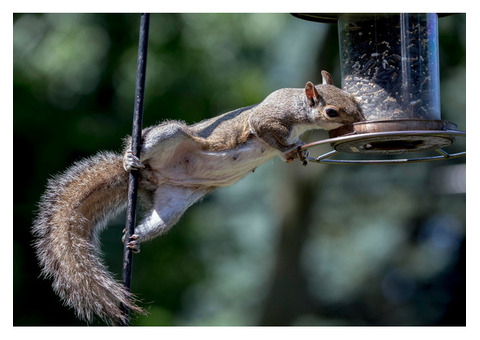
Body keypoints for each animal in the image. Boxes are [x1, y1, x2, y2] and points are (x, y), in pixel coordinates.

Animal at [31, 70, 364, 326]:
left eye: (355, 99)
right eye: (331, 111)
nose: (359, 118)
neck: (299, 109)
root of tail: (151, 174)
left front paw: (300, 153)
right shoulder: (266, 119)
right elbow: (266, 132)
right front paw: (290, 148)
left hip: (173, 203)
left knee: (159, 221)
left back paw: (136, 236)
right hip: (168, 135)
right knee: (141, 144)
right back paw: (128, 159)